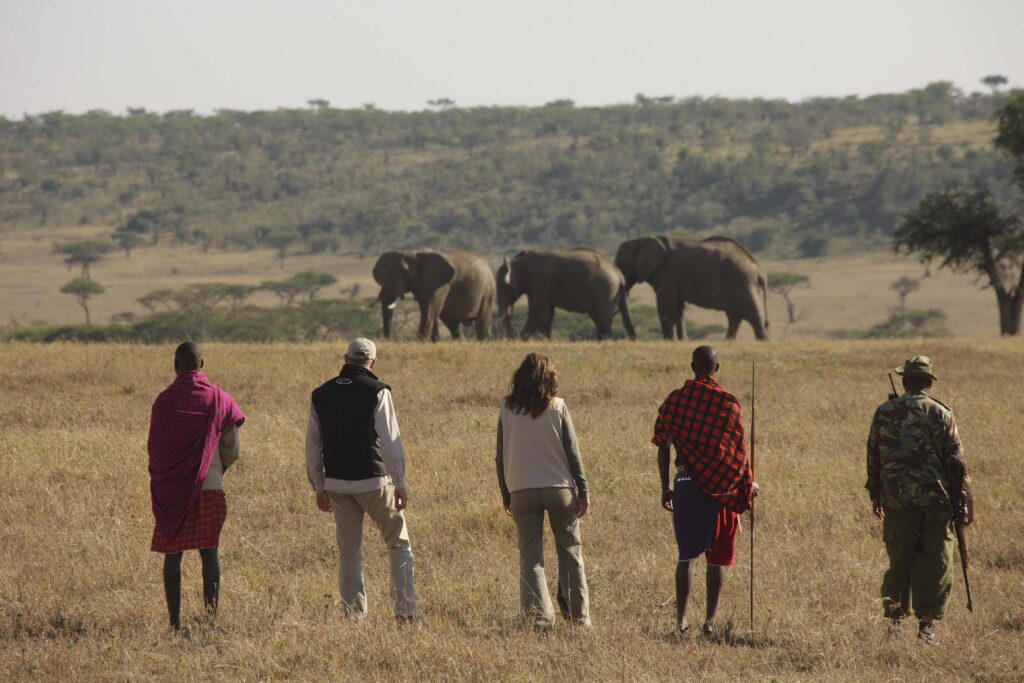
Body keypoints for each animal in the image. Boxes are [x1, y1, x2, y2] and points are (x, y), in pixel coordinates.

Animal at [493, 249, 630, 339]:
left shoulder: (539, 284)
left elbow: (539, 314)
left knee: (602, 321)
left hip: (605, 291)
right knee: (600, 321)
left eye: (502, 286)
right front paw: (545, 341)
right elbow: (547, 315)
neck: (518, 261)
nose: (513, 336)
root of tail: (619, 275)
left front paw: (523, 339)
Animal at [614, 236, 770, 339]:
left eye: (621, 265)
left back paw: (762, 341)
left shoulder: (668, 272)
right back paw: (728, 342)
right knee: (735, 317)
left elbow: (666, 305)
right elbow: (678, 307)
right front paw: (682, 341)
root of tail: (759, 268)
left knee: (752, 315)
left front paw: (669, 341)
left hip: (742, 282)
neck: (642, 240)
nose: (634, 338)